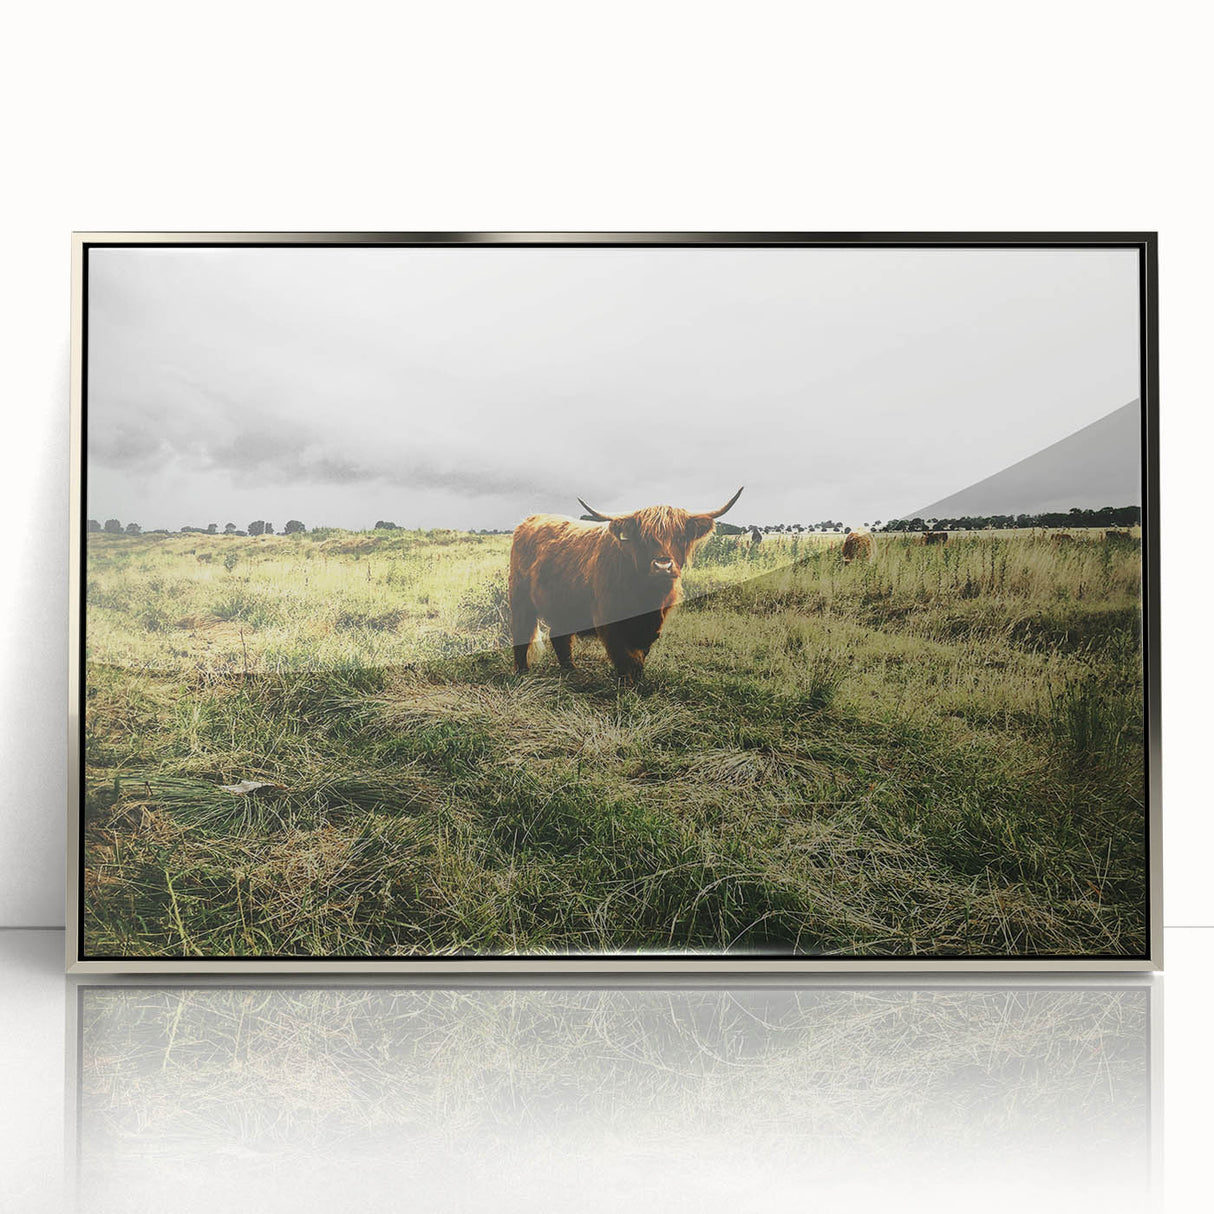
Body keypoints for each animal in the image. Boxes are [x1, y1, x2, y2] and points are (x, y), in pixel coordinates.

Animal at [509, 488, 744, 682]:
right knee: (521, 632)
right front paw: (627, 685)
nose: (662, 566)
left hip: (563, 604)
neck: (646, 595)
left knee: (560, 636)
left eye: (680, 537)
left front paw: (638, 681)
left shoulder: (653, 624)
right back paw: (522, 672)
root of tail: (530, 519)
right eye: (644, 538)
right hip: (520, 599)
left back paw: (571, 671)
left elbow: (640, 654)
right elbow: (623, 655)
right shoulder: (608, 619)